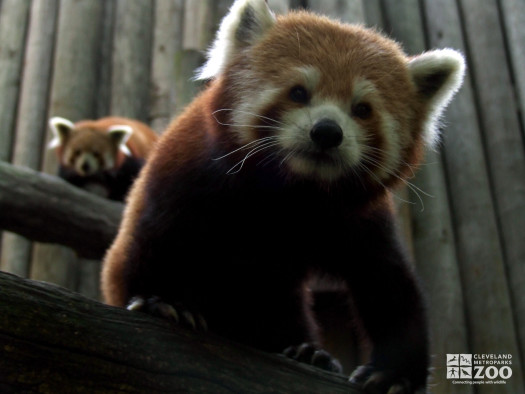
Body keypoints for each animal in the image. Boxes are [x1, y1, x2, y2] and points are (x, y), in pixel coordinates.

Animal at [99, 1, 462, 392]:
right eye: (299, 93)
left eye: (362, 109)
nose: (327, 132)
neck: (289, 194)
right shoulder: (188, 178)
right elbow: (157, 238)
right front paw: (162, 301)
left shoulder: (357, 218)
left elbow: (388, 280)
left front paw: (396, 374)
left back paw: (306, 351)